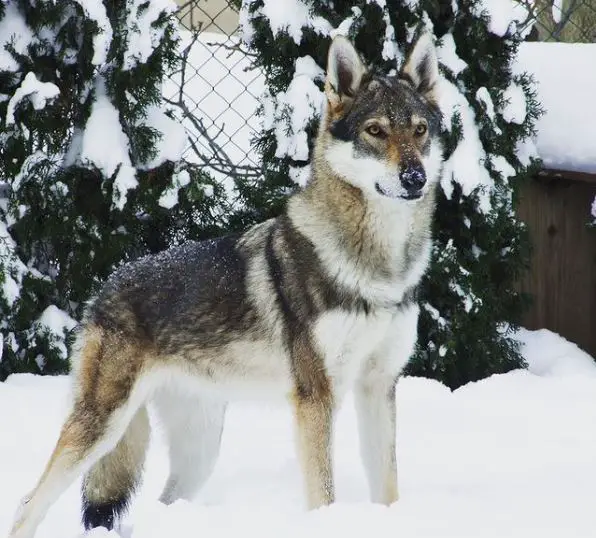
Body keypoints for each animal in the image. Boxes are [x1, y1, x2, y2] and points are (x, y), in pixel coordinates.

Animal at [9, 31, 442, 532]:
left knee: (164, 501)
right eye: (375, 131)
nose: (415, 178)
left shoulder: (378, 385)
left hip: (199, 450)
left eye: (419, 131)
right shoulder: (316, 398)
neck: (379, 265)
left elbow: (387, 487)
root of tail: (104, 287)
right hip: (103, 426)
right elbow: (324, 495)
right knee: (28, 504)